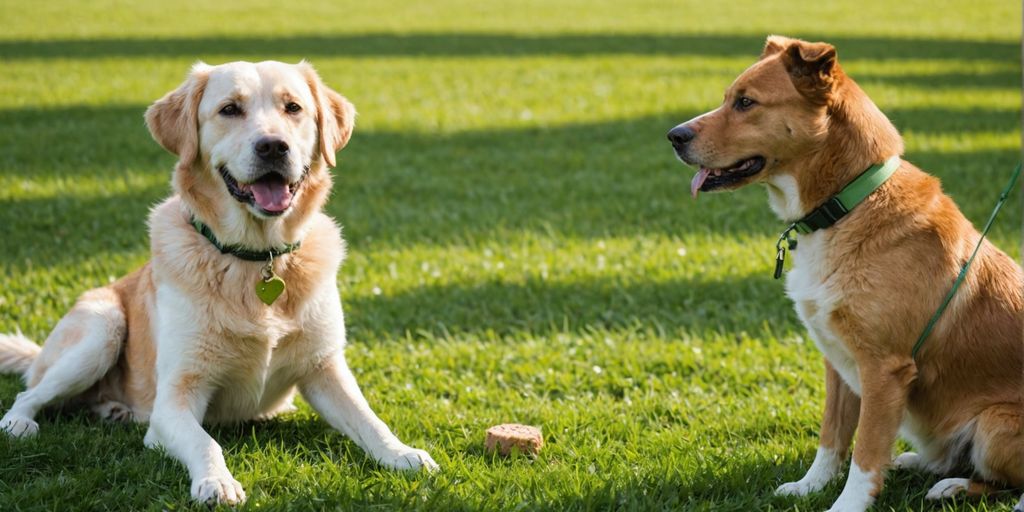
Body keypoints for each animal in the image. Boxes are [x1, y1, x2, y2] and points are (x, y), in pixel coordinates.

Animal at [0, 60, 436, 503]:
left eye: (293, 107)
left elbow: (369, 419)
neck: (257, 259)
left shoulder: (324, 368)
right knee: (29, 393)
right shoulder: (175, 399)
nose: (273, 146)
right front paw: (216, 481)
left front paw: (403, 454)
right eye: (230, 109)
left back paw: (113, 409)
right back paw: (20, 422)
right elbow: (205, 441)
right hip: (100, 329)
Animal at [667, 36, 1019, 512]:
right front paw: (810, 487)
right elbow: (832, 437)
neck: (846, 206)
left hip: (993, 425)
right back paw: (919, 464)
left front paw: (846, 505)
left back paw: (957, 487)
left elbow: (865, 452)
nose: (673, 136)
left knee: (1000, 480)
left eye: (746, 102)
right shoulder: (837, 361)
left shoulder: (883, 369)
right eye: (728, 98)